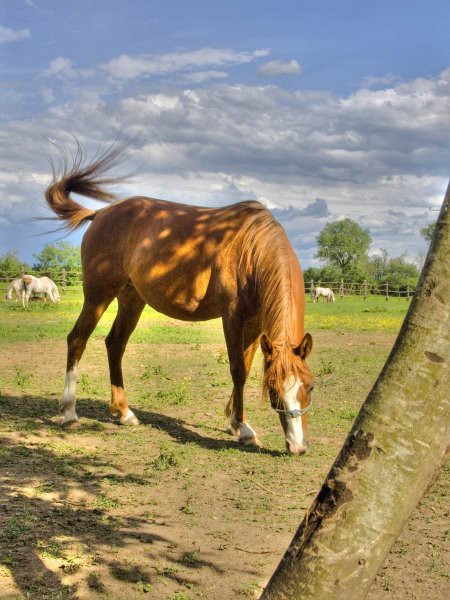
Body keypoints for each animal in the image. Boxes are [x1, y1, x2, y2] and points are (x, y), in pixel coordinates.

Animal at [44, 146, 314, 454]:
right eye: (273, 391)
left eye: (310, 386)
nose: (298, 446)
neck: (251, 248)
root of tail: (100, 214)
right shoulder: (232, 318)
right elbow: (237, 370)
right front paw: (243, 429)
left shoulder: (257, 325)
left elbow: (245, 367)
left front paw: (234, 422)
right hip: (98, 294)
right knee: (78, 339)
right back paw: (69, 413)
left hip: (131, 298)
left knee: (115, 344)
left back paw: (124, 412)